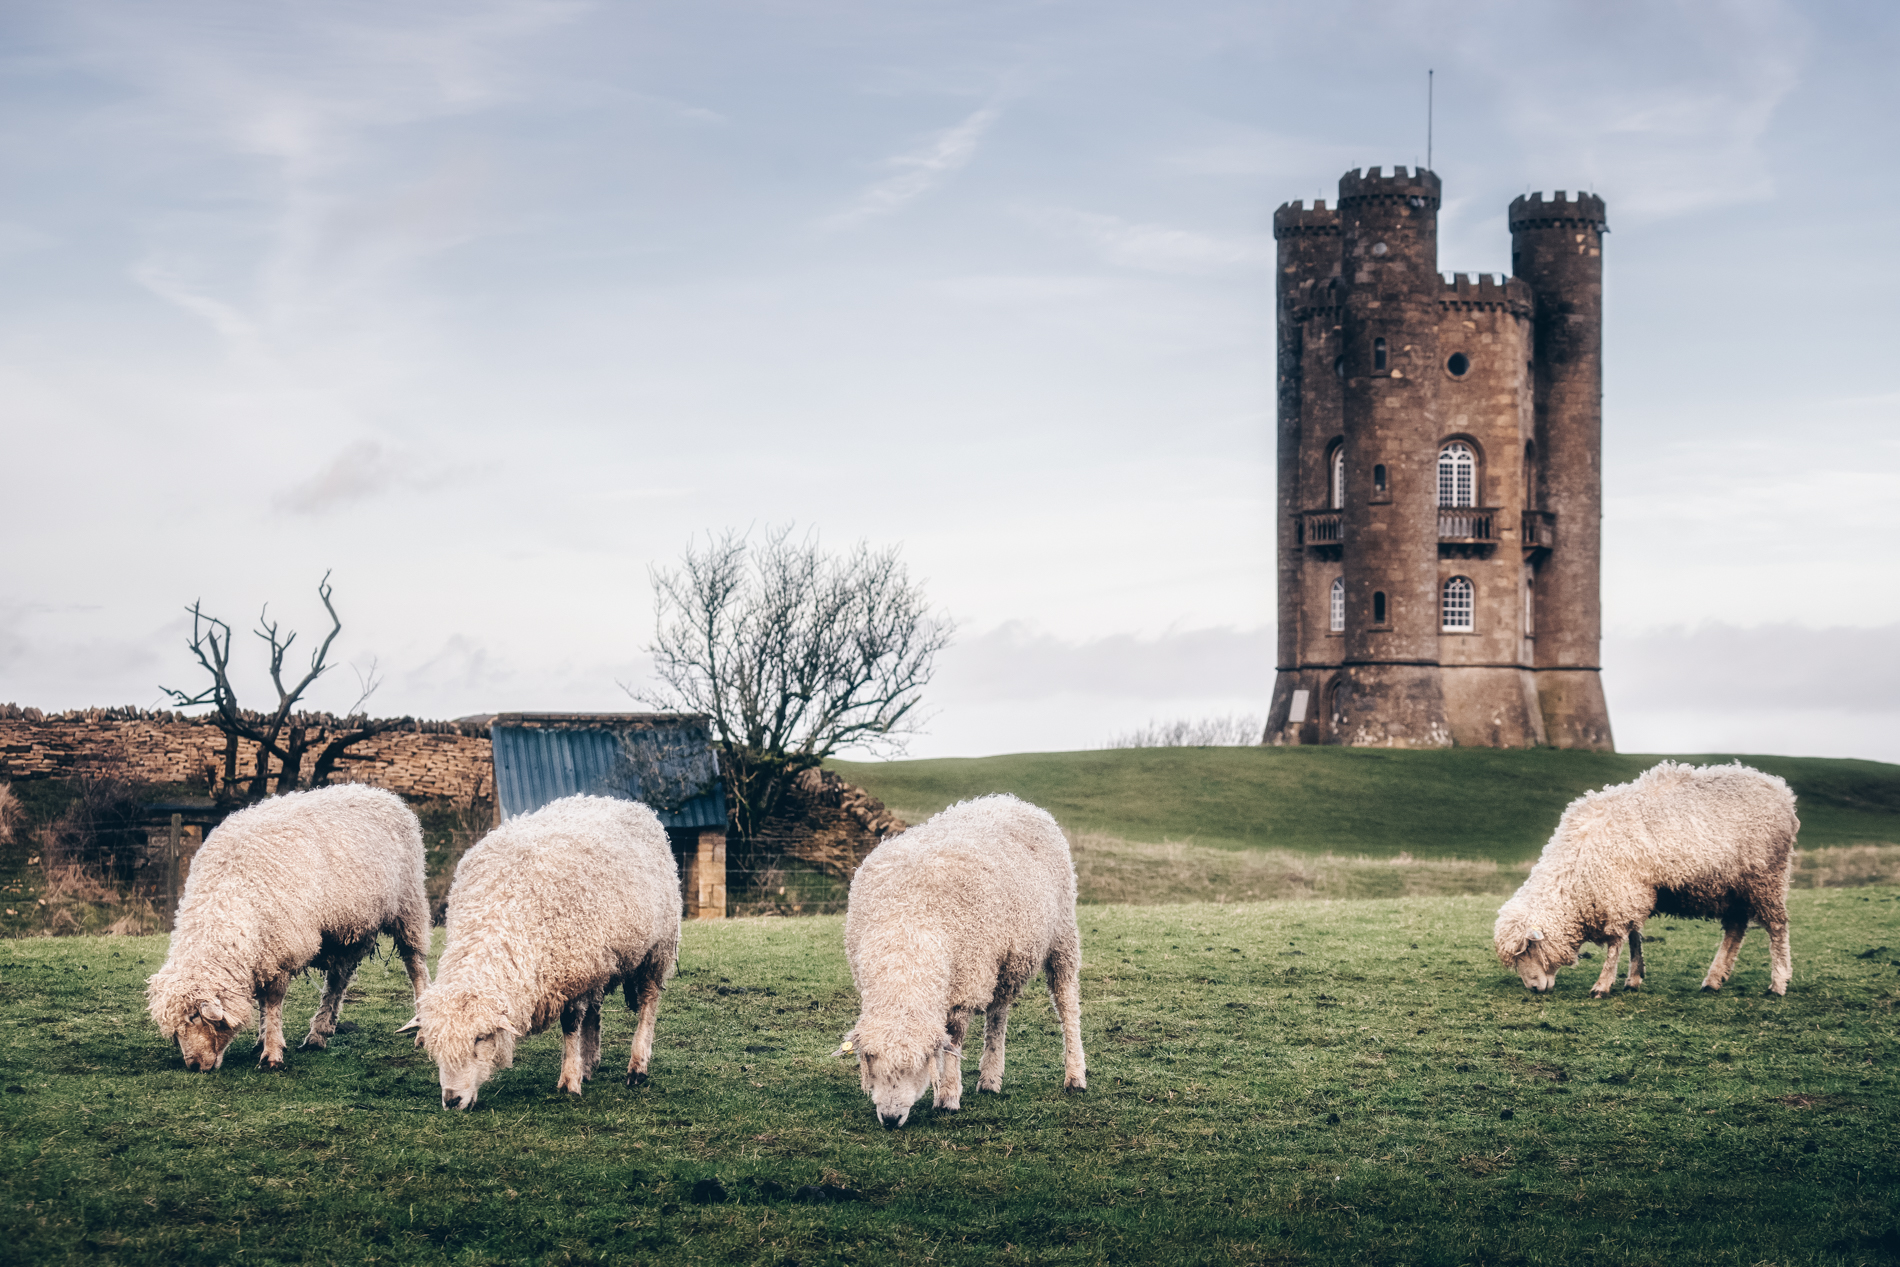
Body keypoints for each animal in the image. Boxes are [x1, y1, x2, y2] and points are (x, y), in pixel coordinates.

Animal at [147, 786, 431, 1078]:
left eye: (195, 1017)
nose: (193, 1065)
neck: (228, 890)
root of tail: (379, 792)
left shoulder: (281, 948)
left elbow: (272, 1002)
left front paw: (271, 1053)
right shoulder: (263, 949)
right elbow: (264, 1001)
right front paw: (261, 1040)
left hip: (409, 905)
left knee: (416, 967)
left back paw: (422, 1030)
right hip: (347, 928)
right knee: (338, 979)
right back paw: (319, 1033)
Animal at [404, 797, 687, 1116]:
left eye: (480, 1038)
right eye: (435, 1046)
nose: (452, 1101)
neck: (500, 909)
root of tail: (626, 804)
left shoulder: (572, 974)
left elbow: (571, 1024)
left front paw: (569, 1082)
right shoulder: (579, 966)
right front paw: (578, 1070)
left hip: (657, 948)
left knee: (648, 1003)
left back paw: (637, 1066)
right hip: (597, 958)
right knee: (596, 1009)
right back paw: (590, 1063)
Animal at [836, 797, 1086, 1132]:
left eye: (918, 1063)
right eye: (870, 1061)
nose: (889, 1119)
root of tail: (1012, 800)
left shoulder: (964, 984)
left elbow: (953, 1038)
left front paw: (948, 1096)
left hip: (1062, 935)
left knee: (1066, 1001)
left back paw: (1075, 1076)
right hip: (1002, 958)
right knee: (998, 1013)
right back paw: (990, 1078)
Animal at [1497, 763, 1793, 1002]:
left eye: (1526, 951)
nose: (1534, 989)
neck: (1574, 868)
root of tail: (1780, 789)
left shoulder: (1619, 892)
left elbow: (1617, 942)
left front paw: (1602, 985)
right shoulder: (1633, 891)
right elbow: (1634, 936)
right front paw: (1634, 979)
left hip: (1766, 878)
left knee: (1777, 928)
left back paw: (1778, 984)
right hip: (1733, 887)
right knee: (1735, 929)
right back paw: (1713, 981)